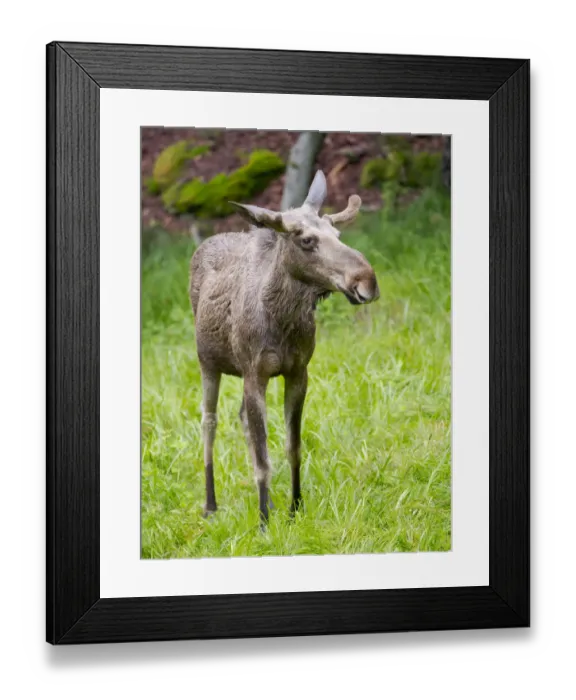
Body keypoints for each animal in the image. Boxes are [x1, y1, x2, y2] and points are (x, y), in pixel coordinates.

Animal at [189, 170, 379, 527]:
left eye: (337, 233)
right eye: (306, 240)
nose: (367, 281)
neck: (282, 323)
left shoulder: (298, 373)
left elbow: (293, 447)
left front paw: (294, 508)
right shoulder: (254, 374)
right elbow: (264, 459)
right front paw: (264, 523)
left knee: (241, 420)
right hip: (208, 363)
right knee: (209, 422)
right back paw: (210, 505)